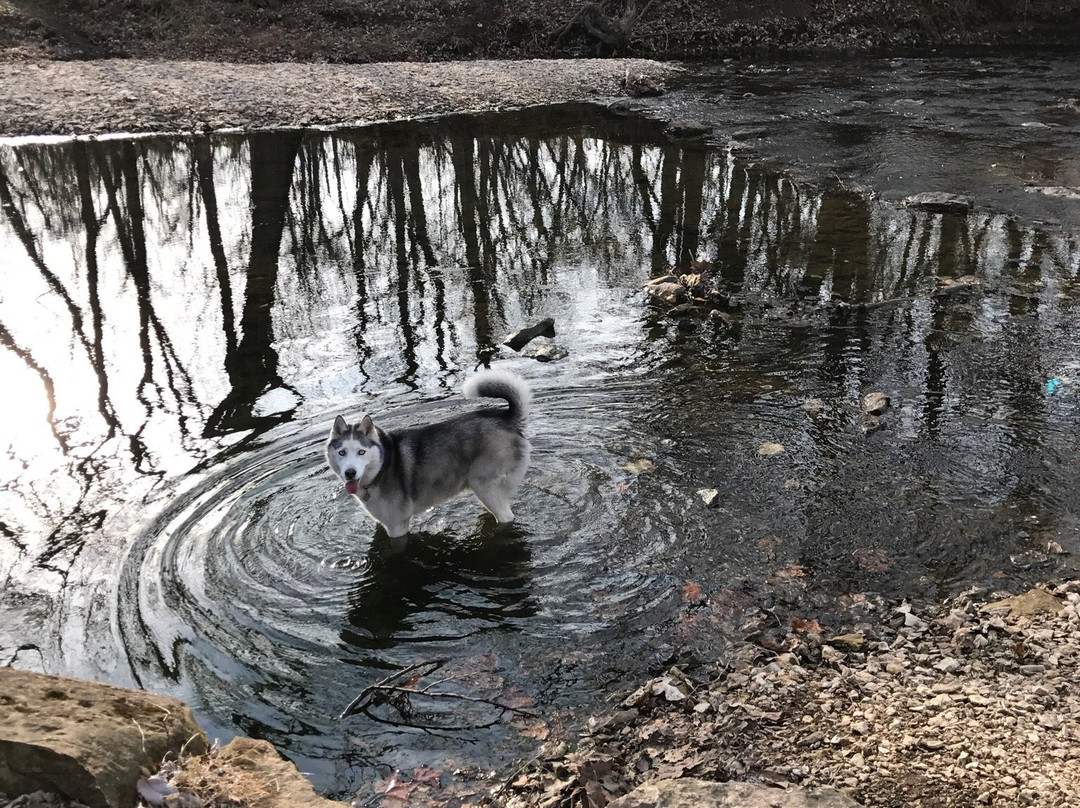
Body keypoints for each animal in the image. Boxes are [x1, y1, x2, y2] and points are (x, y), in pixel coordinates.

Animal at [326, 371, 533, 535]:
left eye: (361, 452)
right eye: (342, 452)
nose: (350, 473)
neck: (382, 466)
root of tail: (506, 418)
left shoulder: (396, 527)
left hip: (485, 487)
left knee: (506, 517)